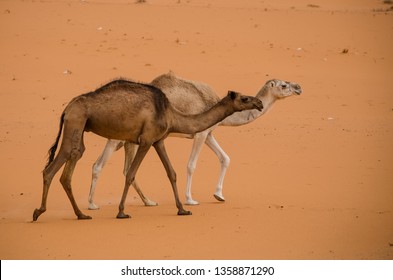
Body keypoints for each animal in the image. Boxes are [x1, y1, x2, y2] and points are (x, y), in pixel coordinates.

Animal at [32, 79, 262, 221]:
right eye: (244, 98)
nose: (259, 102)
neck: (171, 113)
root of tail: (67, 108)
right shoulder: (145, 140)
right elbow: (130, 173)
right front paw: (122, 212)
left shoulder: (158, 141)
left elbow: (172, 173)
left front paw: (182, 209)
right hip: (76, 122)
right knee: (52, 168)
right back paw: (39, 212)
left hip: (78, 128)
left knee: (71, 164)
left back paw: (81, 214)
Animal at [87, 72, 302, 210]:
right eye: (284, 85)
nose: (299, 87)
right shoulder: (200, 134)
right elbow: (191, 165)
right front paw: (190, 200)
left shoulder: (208, 133)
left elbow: (225, 158)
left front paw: (219, 195)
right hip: (122, 138)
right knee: (111, 166)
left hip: (123, 139)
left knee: (103, 165)